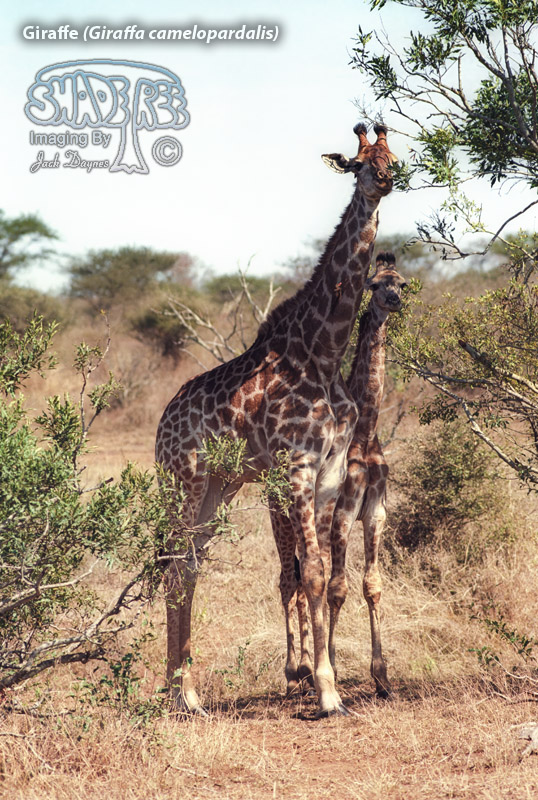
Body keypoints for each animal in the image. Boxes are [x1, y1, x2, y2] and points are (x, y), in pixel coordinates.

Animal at [274, 252, 407, 698]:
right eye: (375, 284)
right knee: (289, 580)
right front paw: (328, 665)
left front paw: (381, 676)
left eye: (402, 282)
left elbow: (372, 585)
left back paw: (302, 672)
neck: (366, 431)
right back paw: (295, 670)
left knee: (300, 580)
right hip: (282, 518)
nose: (393, 301)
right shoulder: (343, 514)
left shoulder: (376, 512)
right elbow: (337, 588)